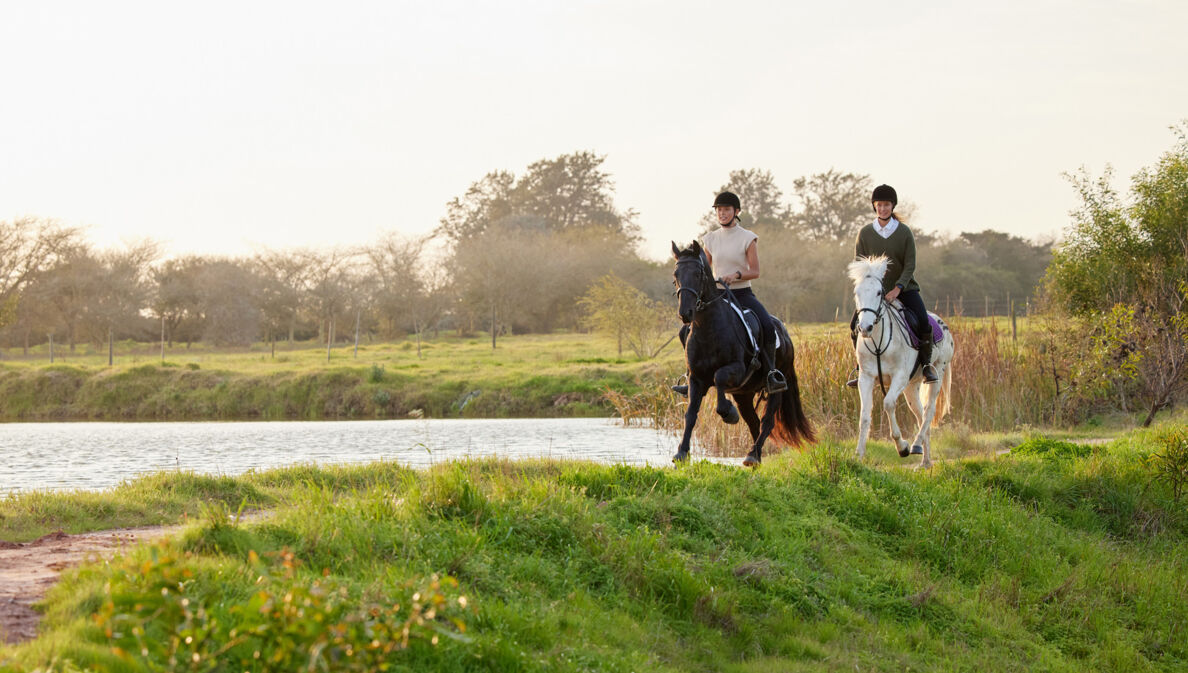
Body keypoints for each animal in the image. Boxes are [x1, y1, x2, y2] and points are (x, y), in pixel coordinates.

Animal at [674, 242, 812, 468]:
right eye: (676, 274)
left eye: (697, 273)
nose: (686, 313)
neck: (708, 328)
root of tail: (784, 333)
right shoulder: (696, 379)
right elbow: (691, 414)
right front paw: (682, 453)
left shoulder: (737, 370)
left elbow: (719, 377)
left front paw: (729, 414)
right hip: (743, 394)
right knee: (753, 421)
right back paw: (755, 456)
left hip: (775, 388)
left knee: (767, 421)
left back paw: (753, 454)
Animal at [845, 255, 955, 473]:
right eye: (857, 292)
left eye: (879, 292)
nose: (865, 328)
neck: (878, 343)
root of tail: (942, 322)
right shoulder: (866, 378)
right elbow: (864, 416)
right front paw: (858, 456)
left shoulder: (899, 377)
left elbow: (888, 404)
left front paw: (902, 447)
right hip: (912, 386)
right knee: (920, 415)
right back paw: (925, 461)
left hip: (936, 375)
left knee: (928, 412)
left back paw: (916, 445)